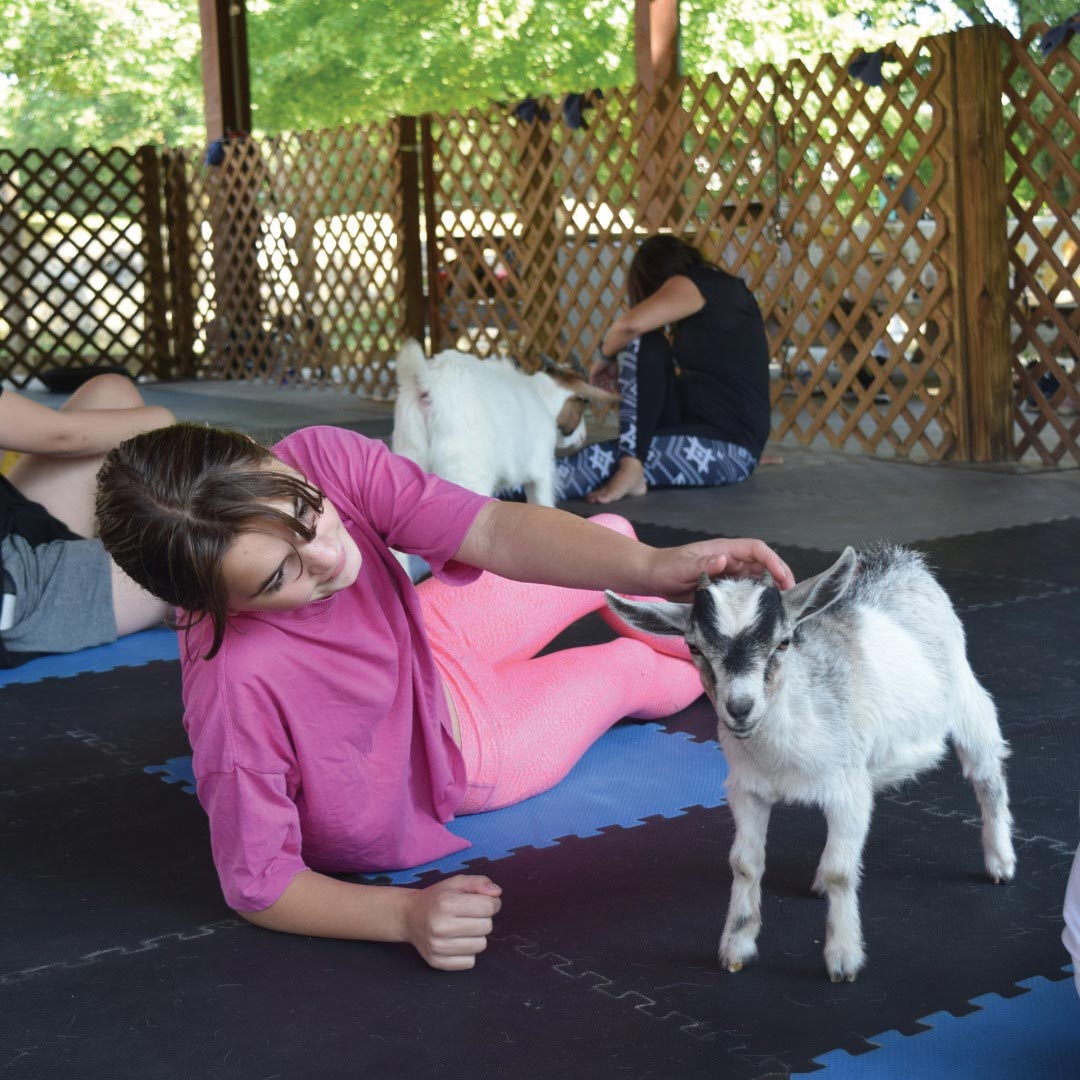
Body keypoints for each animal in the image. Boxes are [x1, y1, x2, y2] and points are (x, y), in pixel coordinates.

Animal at [391, 340, 618, 505]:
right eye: (584, 402)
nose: (583, 436)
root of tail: (427, 384)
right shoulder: (542, 472)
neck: (540, 395)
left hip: (410, 455)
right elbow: (542, 504)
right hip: (465, 474)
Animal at [606, 545, 1016, 982]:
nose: (740, 708)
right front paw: (737, 948)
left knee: (988, 775)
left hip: (967, 699)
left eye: (783, 642)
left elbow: (842, 871)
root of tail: (901, 560)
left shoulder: (847, 790)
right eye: (694, 647)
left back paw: (1000, 861)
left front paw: (843, 959)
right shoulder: (746, 790)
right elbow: (745, 863)